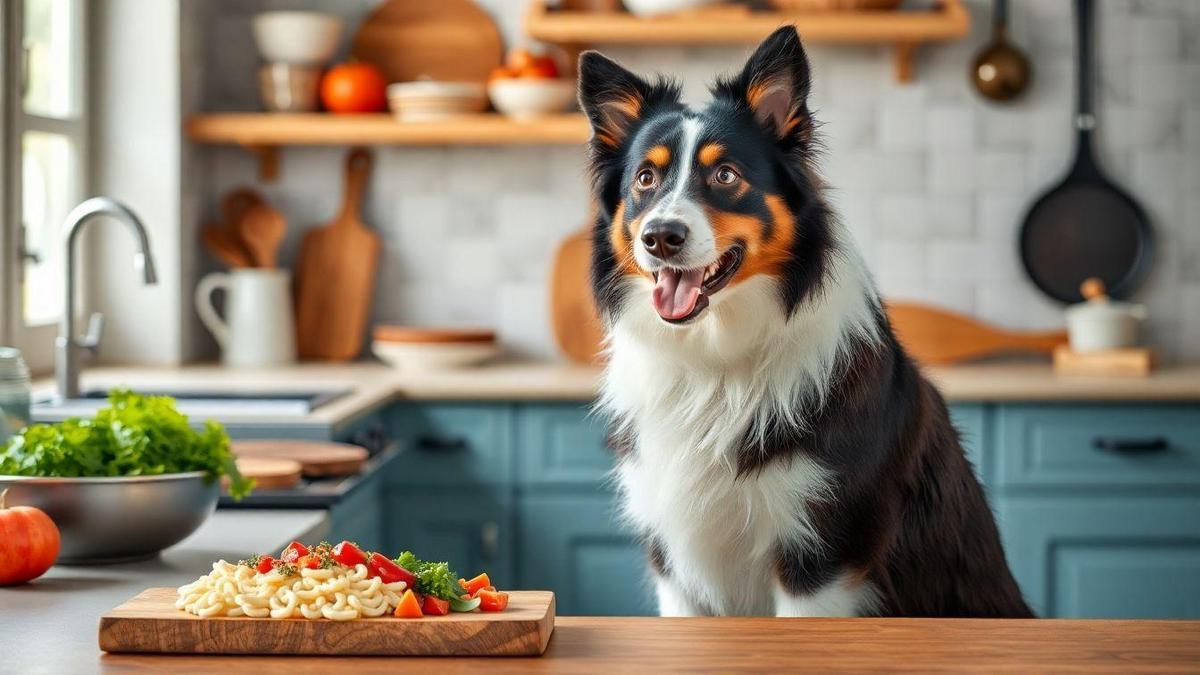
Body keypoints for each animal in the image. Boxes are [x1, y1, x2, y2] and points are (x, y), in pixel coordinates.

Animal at [580, 26, 1032, 614]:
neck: (716, 360)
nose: (660, 237)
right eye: (645, 178)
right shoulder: (675, 566)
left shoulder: (819, 557)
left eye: (725, 175)